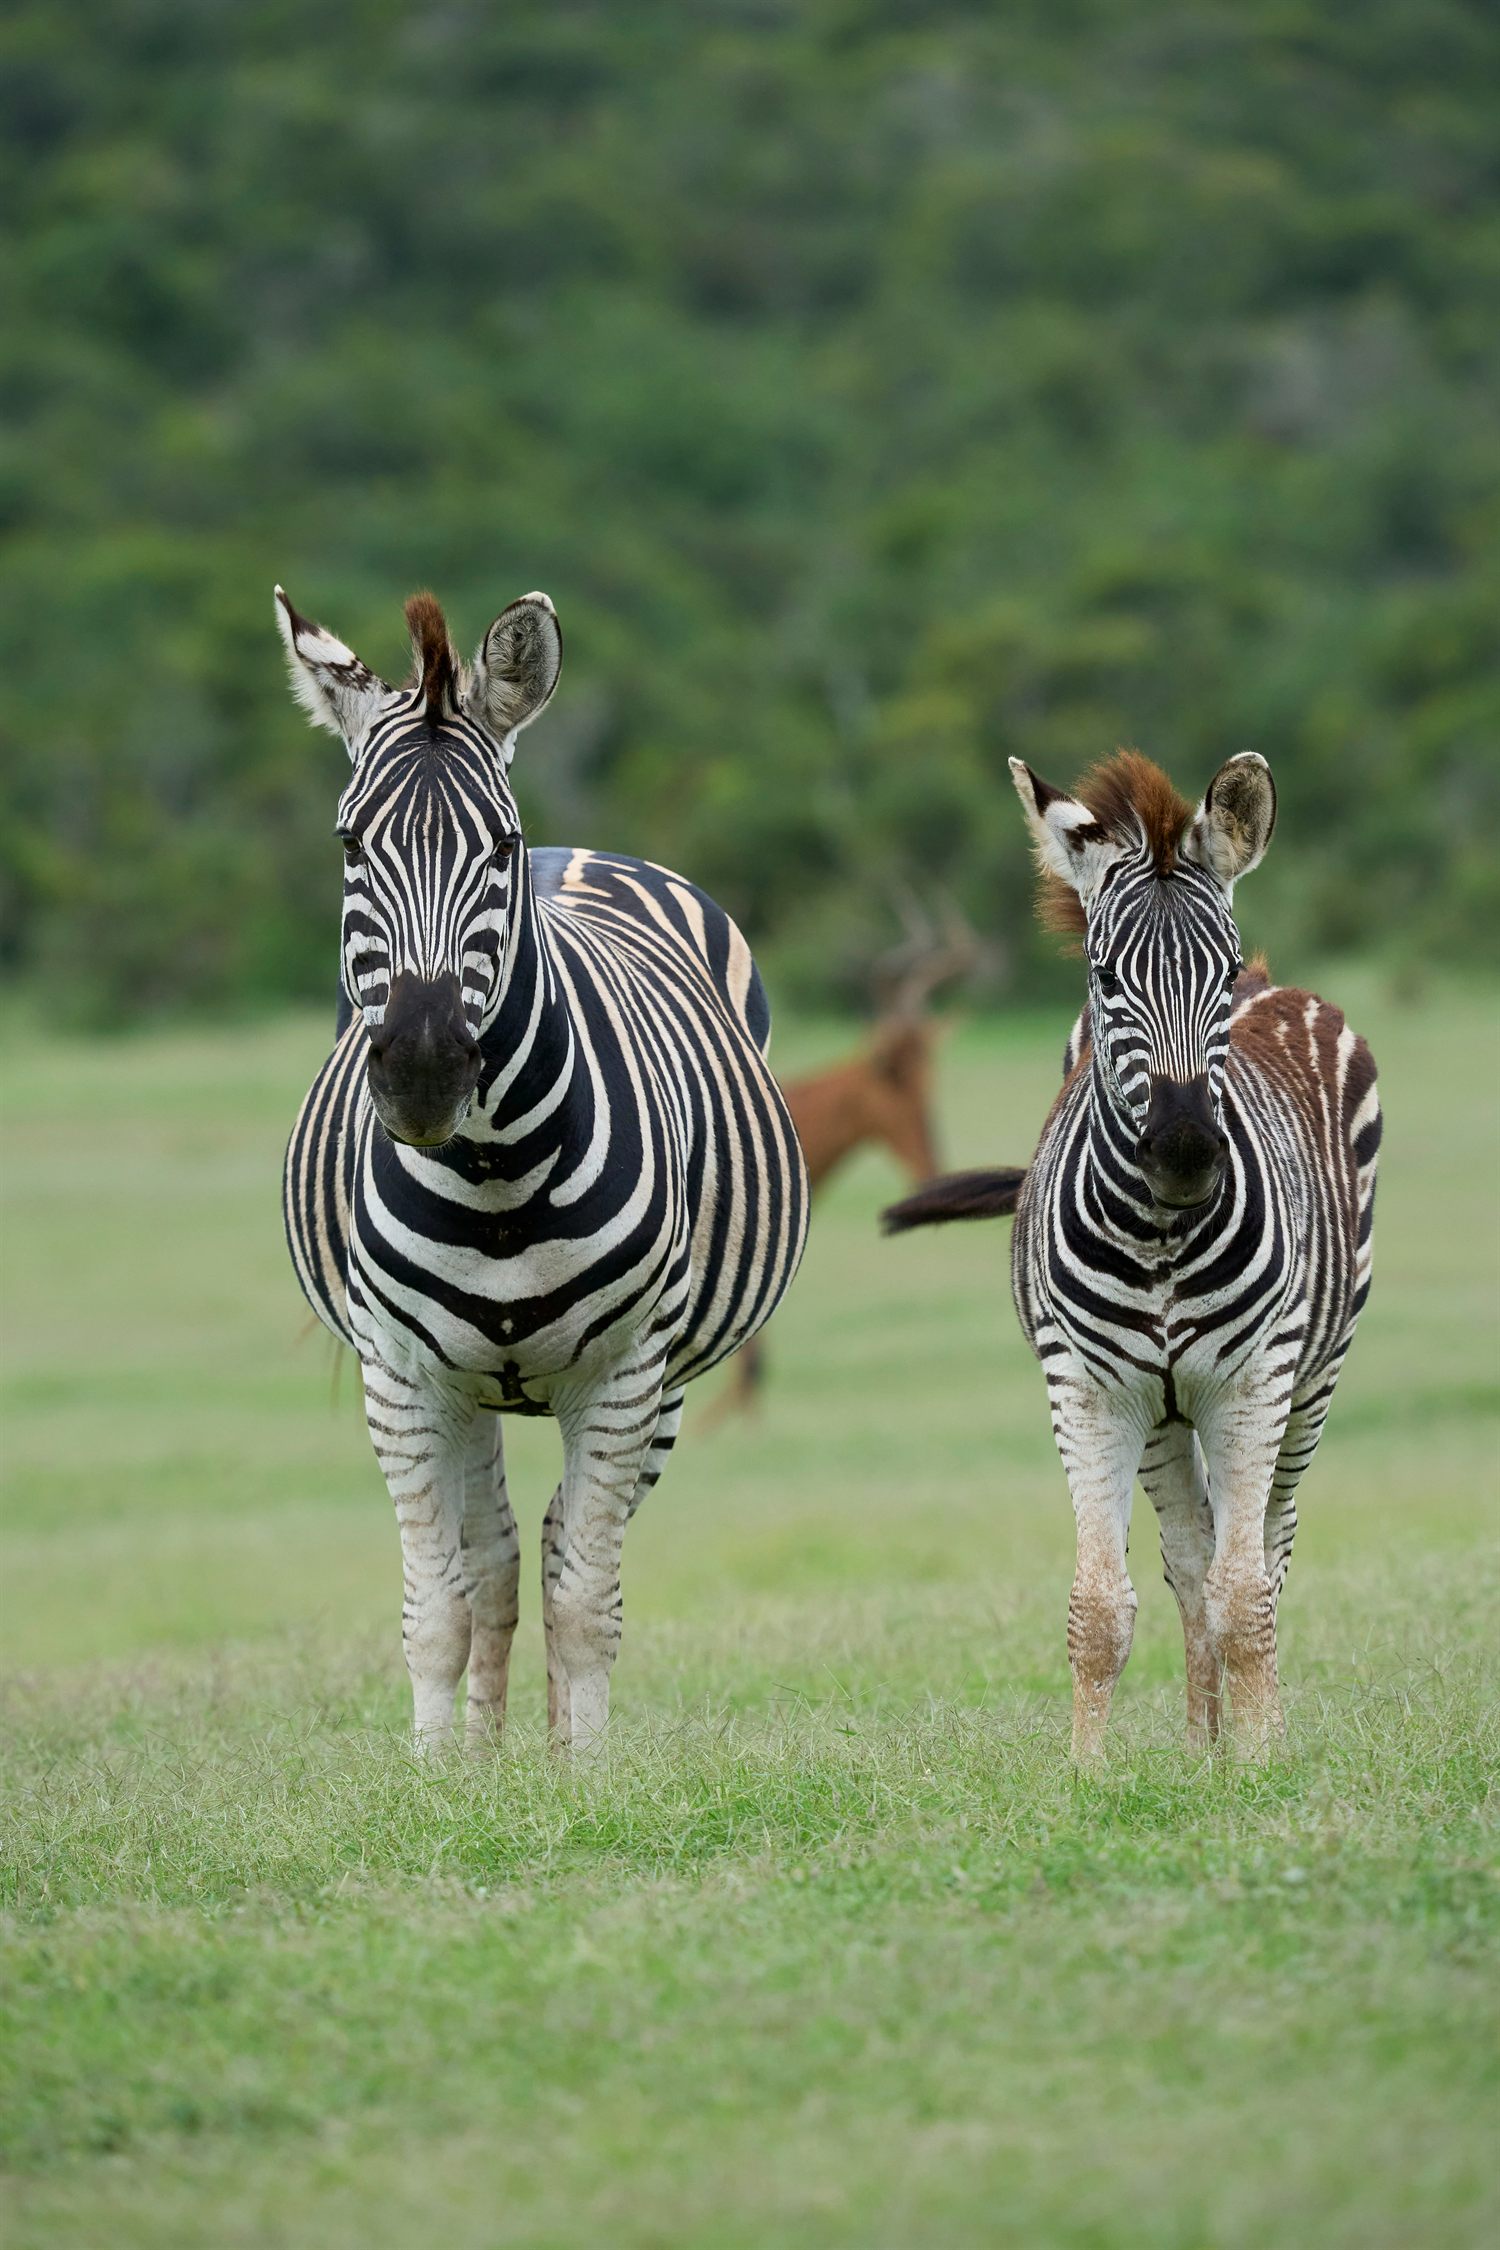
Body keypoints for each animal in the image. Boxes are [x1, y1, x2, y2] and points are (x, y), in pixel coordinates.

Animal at [278, 585, 808, 1751]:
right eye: (349, 842)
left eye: (498, 844)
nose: (424, 1068)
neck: (495, 1180)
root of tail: (580, 850)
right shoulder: (399, 1376)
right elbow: (440, 1603)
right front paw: (441, 1780)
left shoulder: (624, 1373)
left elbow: (584, 1600)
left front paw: (583, 1777)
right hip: (466, 1386)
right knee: (495, 1557)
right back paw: (484, 1756)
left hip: (660, 1383)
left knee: (566, 1544)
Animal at [885, 750, 1379, 1758]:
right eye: (1106, 975)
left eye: (1217, 974)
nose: (1186, 1150)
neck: (1160, 1236)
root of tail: (1280, 981)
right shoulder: (1088, 1388)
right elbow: (1101, 1605)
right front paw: (1090, 1773)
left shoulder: (1254, 1382)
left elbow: (1246, 1596)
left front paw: (1262, 1766)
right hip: (1162, 1414)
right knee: (1191, 1556)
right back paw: (1199, 1748)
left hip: (1312, 1380)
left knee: (1268, 1549)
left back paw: (1251, 1738)